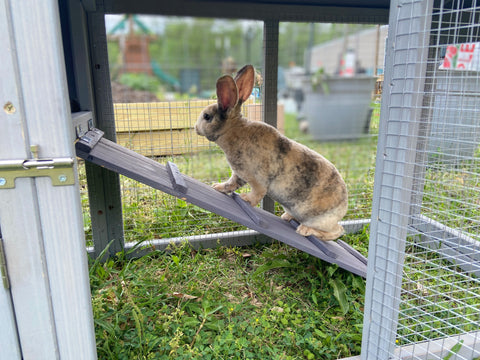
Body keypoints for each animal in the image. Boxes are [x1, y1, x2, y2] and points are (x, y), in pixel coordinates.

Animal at [195, 64, 348, 242]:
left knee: (337, 231)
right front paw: (217, 187)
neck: (233, 131)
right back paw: (287, 217)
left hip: (319, 219)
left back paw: (305, 230)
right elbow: (231, 184)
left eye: (207, 116)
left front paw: (246, 199)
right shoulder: (238, 174)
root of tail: (343, 209)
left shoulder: (256, 180)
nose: (195, 128)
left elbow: (257, 193)